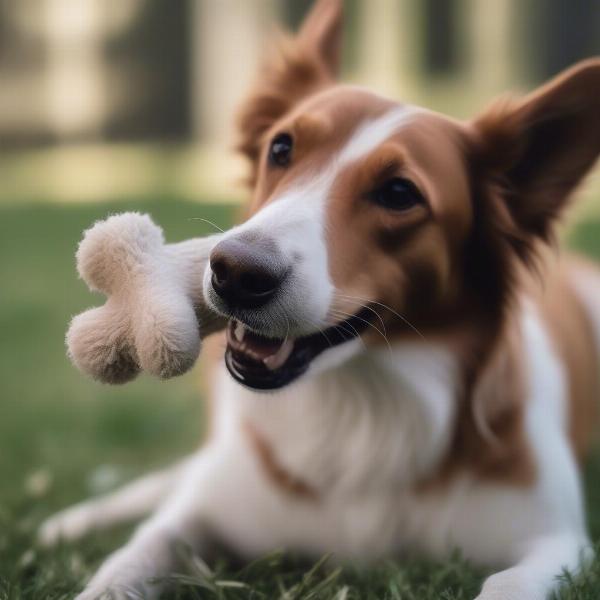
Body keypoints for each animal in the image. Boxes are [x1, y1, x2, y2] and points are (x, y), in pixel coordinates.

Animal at [38, 1, 600, 600]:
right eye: (281, 148)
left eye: (399, 193)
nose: (235, 272)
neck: (360, 410)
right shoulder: (205, 509)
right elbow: (134, 555)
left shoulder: (558, 544)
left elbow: (505, 585)